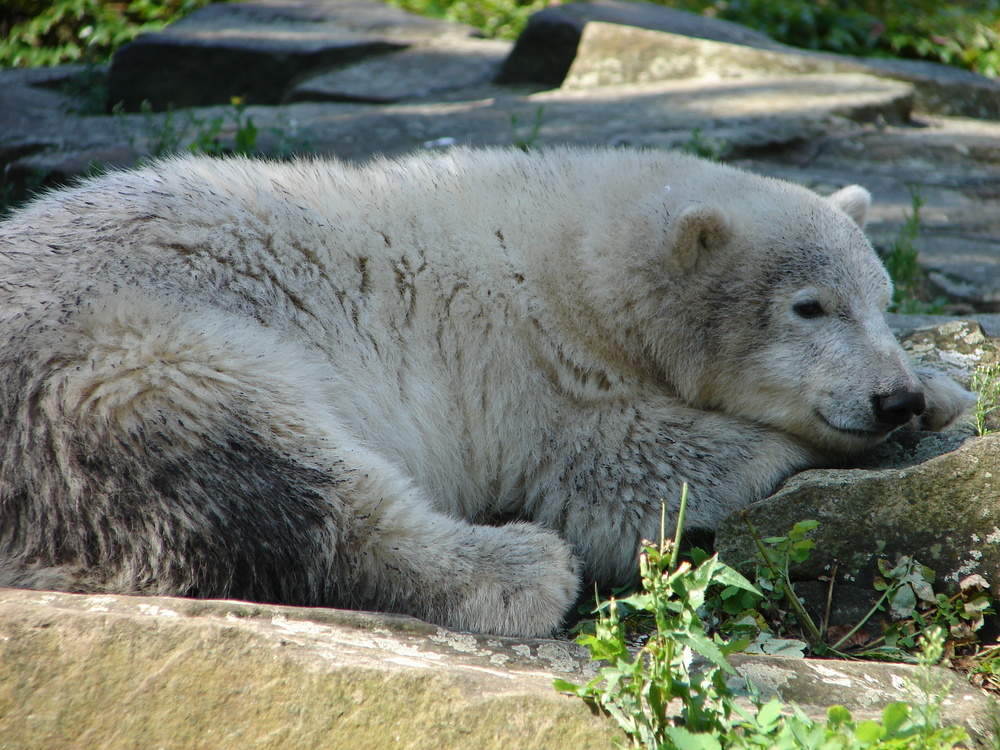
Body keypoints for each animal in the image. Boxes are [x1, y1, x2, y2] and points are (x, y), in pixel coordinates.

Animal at [0, 147, 972, 636]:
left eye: (883, 300)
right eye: (810, 306)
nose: (892, 399)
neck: (573, 255)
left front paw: (942, 386)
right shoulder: (537, 371)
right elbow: (630, 476)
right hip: (133, 348)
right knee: (281, 466)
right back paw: (518, 570)